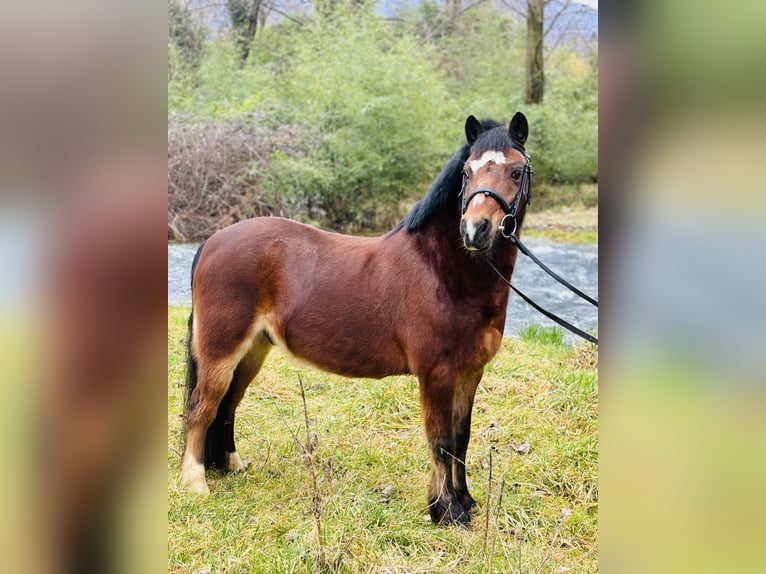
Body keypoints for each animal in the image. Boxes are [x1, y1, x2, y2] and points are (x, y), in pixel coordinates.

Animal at [181, 112, 533, 525]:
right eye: (468, 171)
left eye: (515, 172)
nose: (476, 229)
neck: (442, 270)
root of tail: (212, 240)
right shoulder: (438, 374)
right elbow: (441, 441)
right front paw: (446, 511)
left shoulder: (470, 373)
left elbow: (461, 439)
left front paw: (466, 503)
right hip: (220, 352)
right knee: (202, 406)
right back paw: (195, 484)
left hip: (251, 352)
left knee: (228, 405)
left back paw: (231, 466)